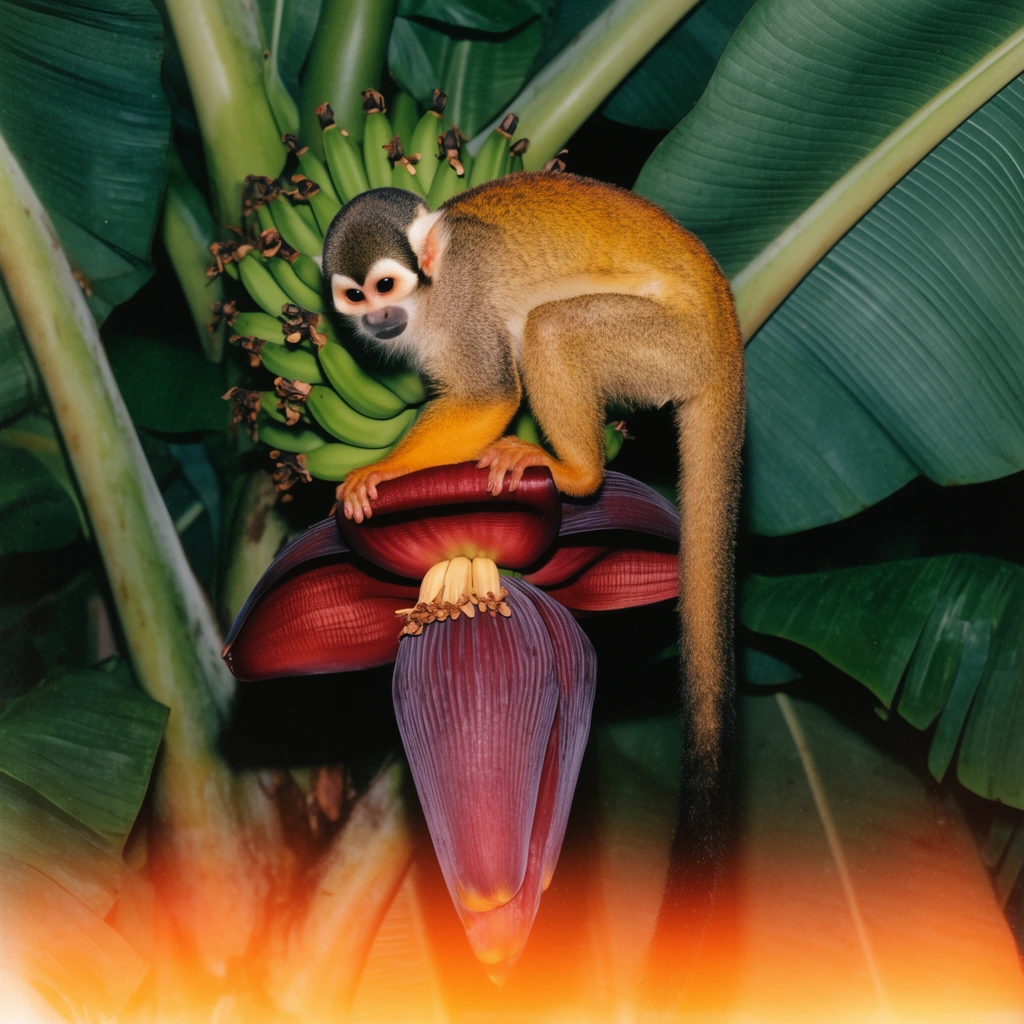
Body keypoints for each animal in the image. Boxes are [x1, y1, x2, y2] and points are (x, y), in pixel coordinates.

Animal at [322, 173, 745, 997]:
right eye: (354, 297)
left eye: (387, 287)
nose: (380, 320)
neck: (431, 287)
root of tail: (724, 333)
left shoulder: (460, 306)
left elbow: (488, 393)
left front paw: (378, 473)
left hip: (664, 346)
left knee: (550, 328)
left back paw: (574, 472)